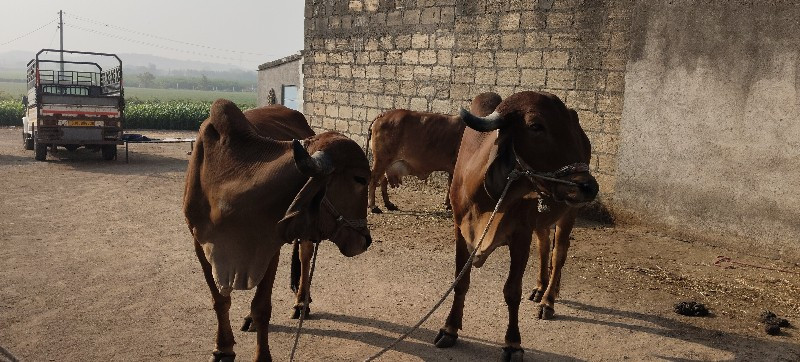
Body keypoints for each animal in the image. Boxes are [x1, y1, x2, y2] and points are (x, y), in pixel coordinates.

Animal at [184, 99, 372, 362]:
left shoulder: (269, 245)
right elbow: (220, 300)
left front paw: (262, 356)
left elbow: (262, 307)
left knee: (304, 256)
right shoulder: (200, 243)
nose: (366, 240)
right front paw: (223, 349)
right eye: (360, 179)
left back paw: (301, 303)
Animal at [368, 92, 500, 214]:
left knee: (383, 181)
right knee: (373, 180)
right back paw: (373, 206)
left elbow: (450, 185)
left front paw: (447, 204)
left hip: (388, 163)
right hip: (382, 160)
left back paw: (389, 204)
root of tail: (383, 114)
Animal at [432, 90, 600, 360]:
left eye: (570, 125)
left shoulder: (520, 236)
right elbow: (461, 281)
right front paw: (450, 328)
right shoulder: (460, 231)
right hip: (544, 217)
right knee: (544, 245)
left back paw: (548, 300)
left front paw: (513, 344)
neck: (489, 198)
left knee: (558, 254)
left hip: (569, 213)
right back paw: (541, 288)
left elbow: (512, 291)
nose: (589, 186)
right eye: (535, 126)